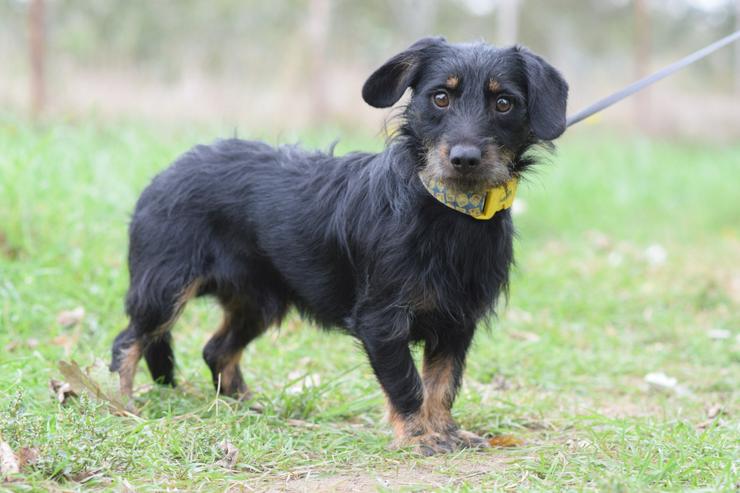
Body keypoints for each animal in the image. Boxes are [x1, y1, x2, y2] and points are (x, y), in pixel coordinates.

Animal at [110, 37, 568, 454]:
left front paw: (446, 431)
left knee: (216, 350)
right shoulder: (381, 322)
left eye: (504, 103)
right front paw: (418, 436)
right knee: (128, 342)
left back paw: (246, 406)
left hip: (259, 301)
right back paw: (123, 405)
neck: (446, 211)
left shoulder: (457, 322)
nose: (465, 158)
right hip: (165, 288)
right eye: (440, 97)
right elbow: (408, 384)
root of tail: (164, 174)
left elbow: (442, 383)